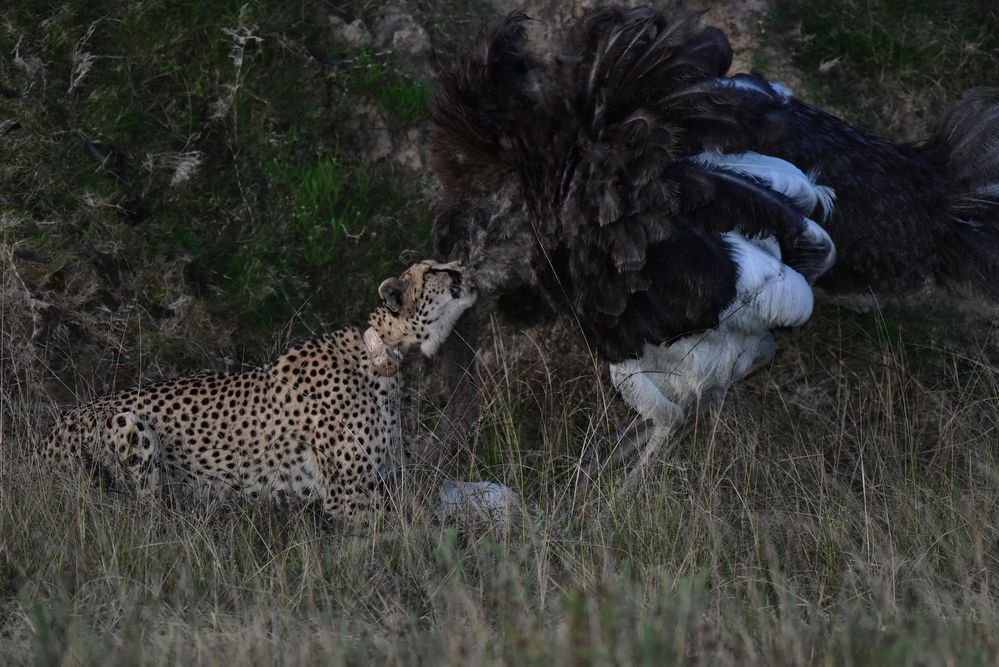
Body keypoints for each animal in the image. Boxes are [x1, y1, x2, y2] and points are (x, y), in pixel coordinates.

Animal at [39, 260, 476, 520]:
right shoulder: (350, 497)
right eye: (433, 270)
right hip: (127, 424)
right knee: (143, 518)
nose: (463, 266)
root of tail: (45, 438)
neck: (383, 354)